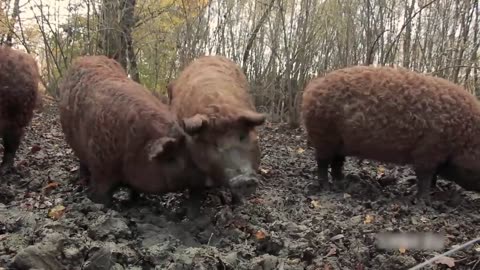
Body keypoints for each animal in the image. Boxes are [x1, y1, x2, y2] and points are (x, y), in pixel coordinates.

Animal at [57, 56, 207, 206]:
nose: (206, 180)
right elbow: (101, 192)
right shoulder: (100, 164)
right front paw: (99, 201)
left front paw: (135, 201)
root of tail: (85, 57)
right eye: (172, 158)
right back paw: (83, 181)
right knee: (81, 162)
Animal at [302, 65, 480, 205]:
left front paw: (433, 192)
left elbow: (432, 177)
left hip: (340, 142)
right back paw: (326, 188)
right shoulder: (428, 151)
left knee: (337, 163)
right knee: (322, 162)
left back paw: (342, 183)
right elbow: (424, 177)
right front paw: (424, 202)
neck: (464, 136)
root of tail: (312, 87)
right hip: (324, 135)